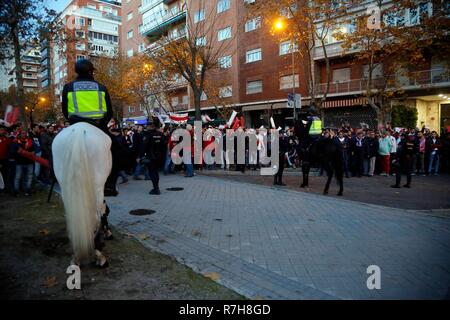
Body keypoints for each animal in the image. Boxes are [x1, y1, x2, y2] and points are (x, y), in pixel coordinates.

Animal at [52, 123, 112, 268]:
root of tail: (78, 130)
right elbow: (103, 210)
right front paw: (107, 232)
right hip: (97, 186)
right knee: (95, 218)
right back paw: (100, 257)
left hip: (65, 187)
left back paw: (76, 256)